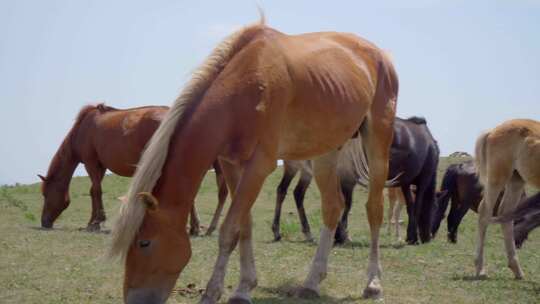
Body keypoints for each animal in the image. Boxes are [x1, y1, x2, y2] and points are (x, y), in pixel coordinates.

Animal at [36, 103, 226, 234]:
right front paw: (92, 221)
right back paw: (193, 227)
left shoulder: (91, 162)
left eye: (45, 194)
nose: (44, 222)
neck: (82, 129)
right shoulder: (100, 166)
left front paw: (96, 222)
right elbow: (94, 191)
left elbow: (96, 191)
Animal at [109, 16, 398, 304]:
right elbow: (244, 226)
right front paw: (243, 287)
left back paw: (373, 283)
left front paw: (213, 292)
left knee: (374, 209)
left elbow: (229, 230)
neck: (247, 83)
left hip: (378, 143)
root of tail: (380, 55)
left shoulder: (259, 165)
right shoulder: (231, 164)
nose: (134, 301)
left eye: (145, 243)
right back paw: (312, 282)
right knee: (333, 207)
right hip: (325, 151)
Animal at [272, 116, 440, 245]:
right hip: (297, 167)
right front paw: (340, 236)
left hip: (300, 169)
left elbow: (345, 203)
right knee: (287, 191)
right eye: (437, 210)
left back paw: (299, 233)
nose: (429, 237)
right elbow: (345, 204)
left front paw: (340, 235)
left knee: (292, 192)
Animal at [474, 117, 536, 280]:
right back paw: (480, 268)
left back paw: (517, 270)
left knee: (506, 213)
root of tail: (492, 132)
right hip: (498, 178)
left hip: (516, 179)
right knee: (485, 212)